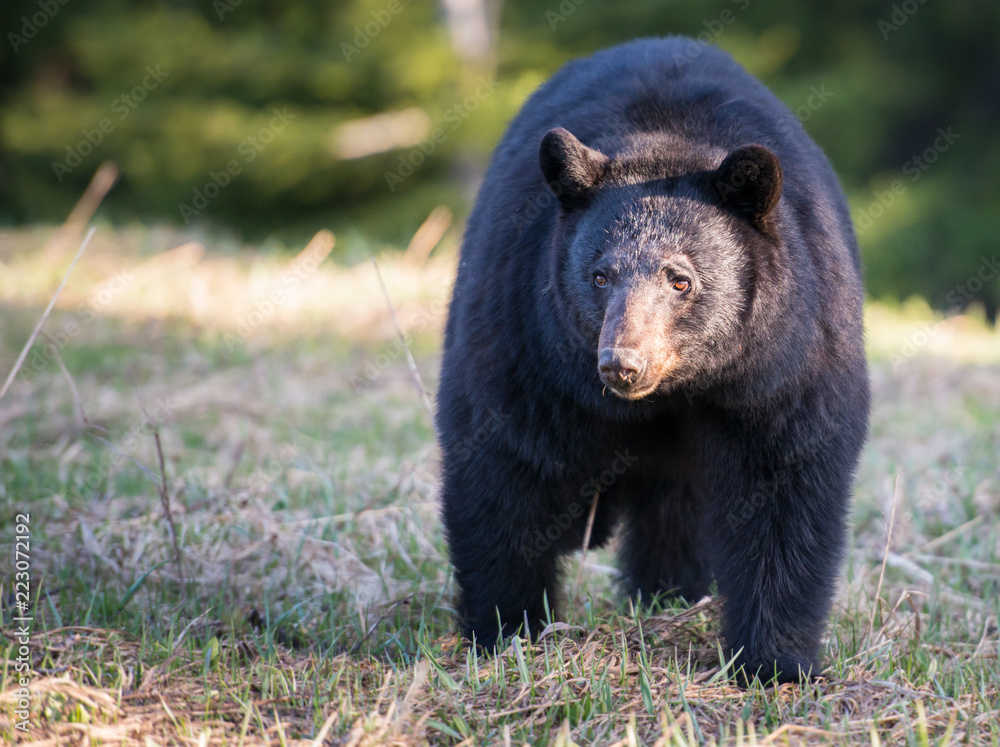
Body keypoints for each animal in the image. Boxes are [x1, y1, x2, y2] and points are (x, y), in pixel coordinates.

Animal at [436, 39, 868, 684]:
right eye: (600, 275)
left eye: (680, 279)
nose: (622, 363)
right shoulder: (526, 342)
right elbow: (504, 465)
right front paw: (505, 630)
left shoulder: (785, 364)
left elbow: (784, 488)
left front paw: (774, 662)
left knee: (675, 508)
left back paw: (669, 595)